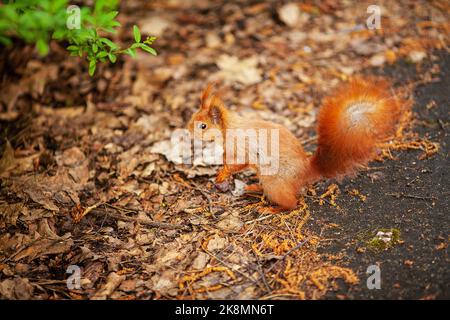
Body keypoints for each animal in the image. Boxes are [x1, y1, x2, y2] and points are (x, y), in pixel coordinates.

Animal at [188, 79, 402, 210]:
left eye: (203, 126)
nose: (188, 131)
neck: (229, 129)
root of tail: (306, 172)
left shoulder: (241, 145)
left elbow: (239, 162)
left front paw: (223, 173)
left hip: (275, 182)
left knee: (292, 203)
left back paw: (272, 209)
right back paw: (254, 188)